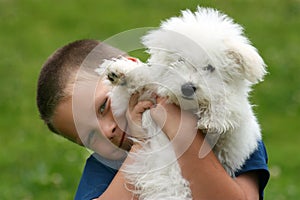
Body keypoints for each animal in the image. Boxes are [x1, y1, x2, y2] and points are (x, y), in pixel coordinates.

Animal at [97, 6, 266, 200]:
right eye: (179, 61)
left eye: (210, 68)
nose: (187, 88)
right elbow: (148, 78)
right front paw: (121, 71)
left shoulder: (233, 142)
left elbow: (232, 105)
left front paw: (214, 116)